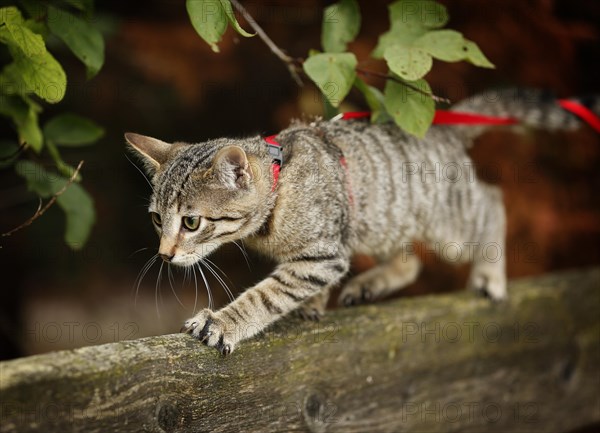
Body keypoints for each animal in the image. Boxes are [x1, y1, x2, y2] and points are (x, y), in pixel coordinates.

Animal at [125, 88, 596, 354]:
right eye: (156, 219)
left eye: (191, 223)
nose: (164, 255)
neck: (278, 187)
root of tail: (440, 128)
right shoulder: (330, 249)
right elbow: (297, 283)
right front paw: (313, 304)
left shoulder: (325, 253)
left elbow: (269, 294)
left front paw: (223, 323)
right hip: (384, 223)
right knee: (410, 261)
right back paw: (371, 284)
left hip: (448, 224)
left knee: (492, 202)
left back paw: (490, 275)